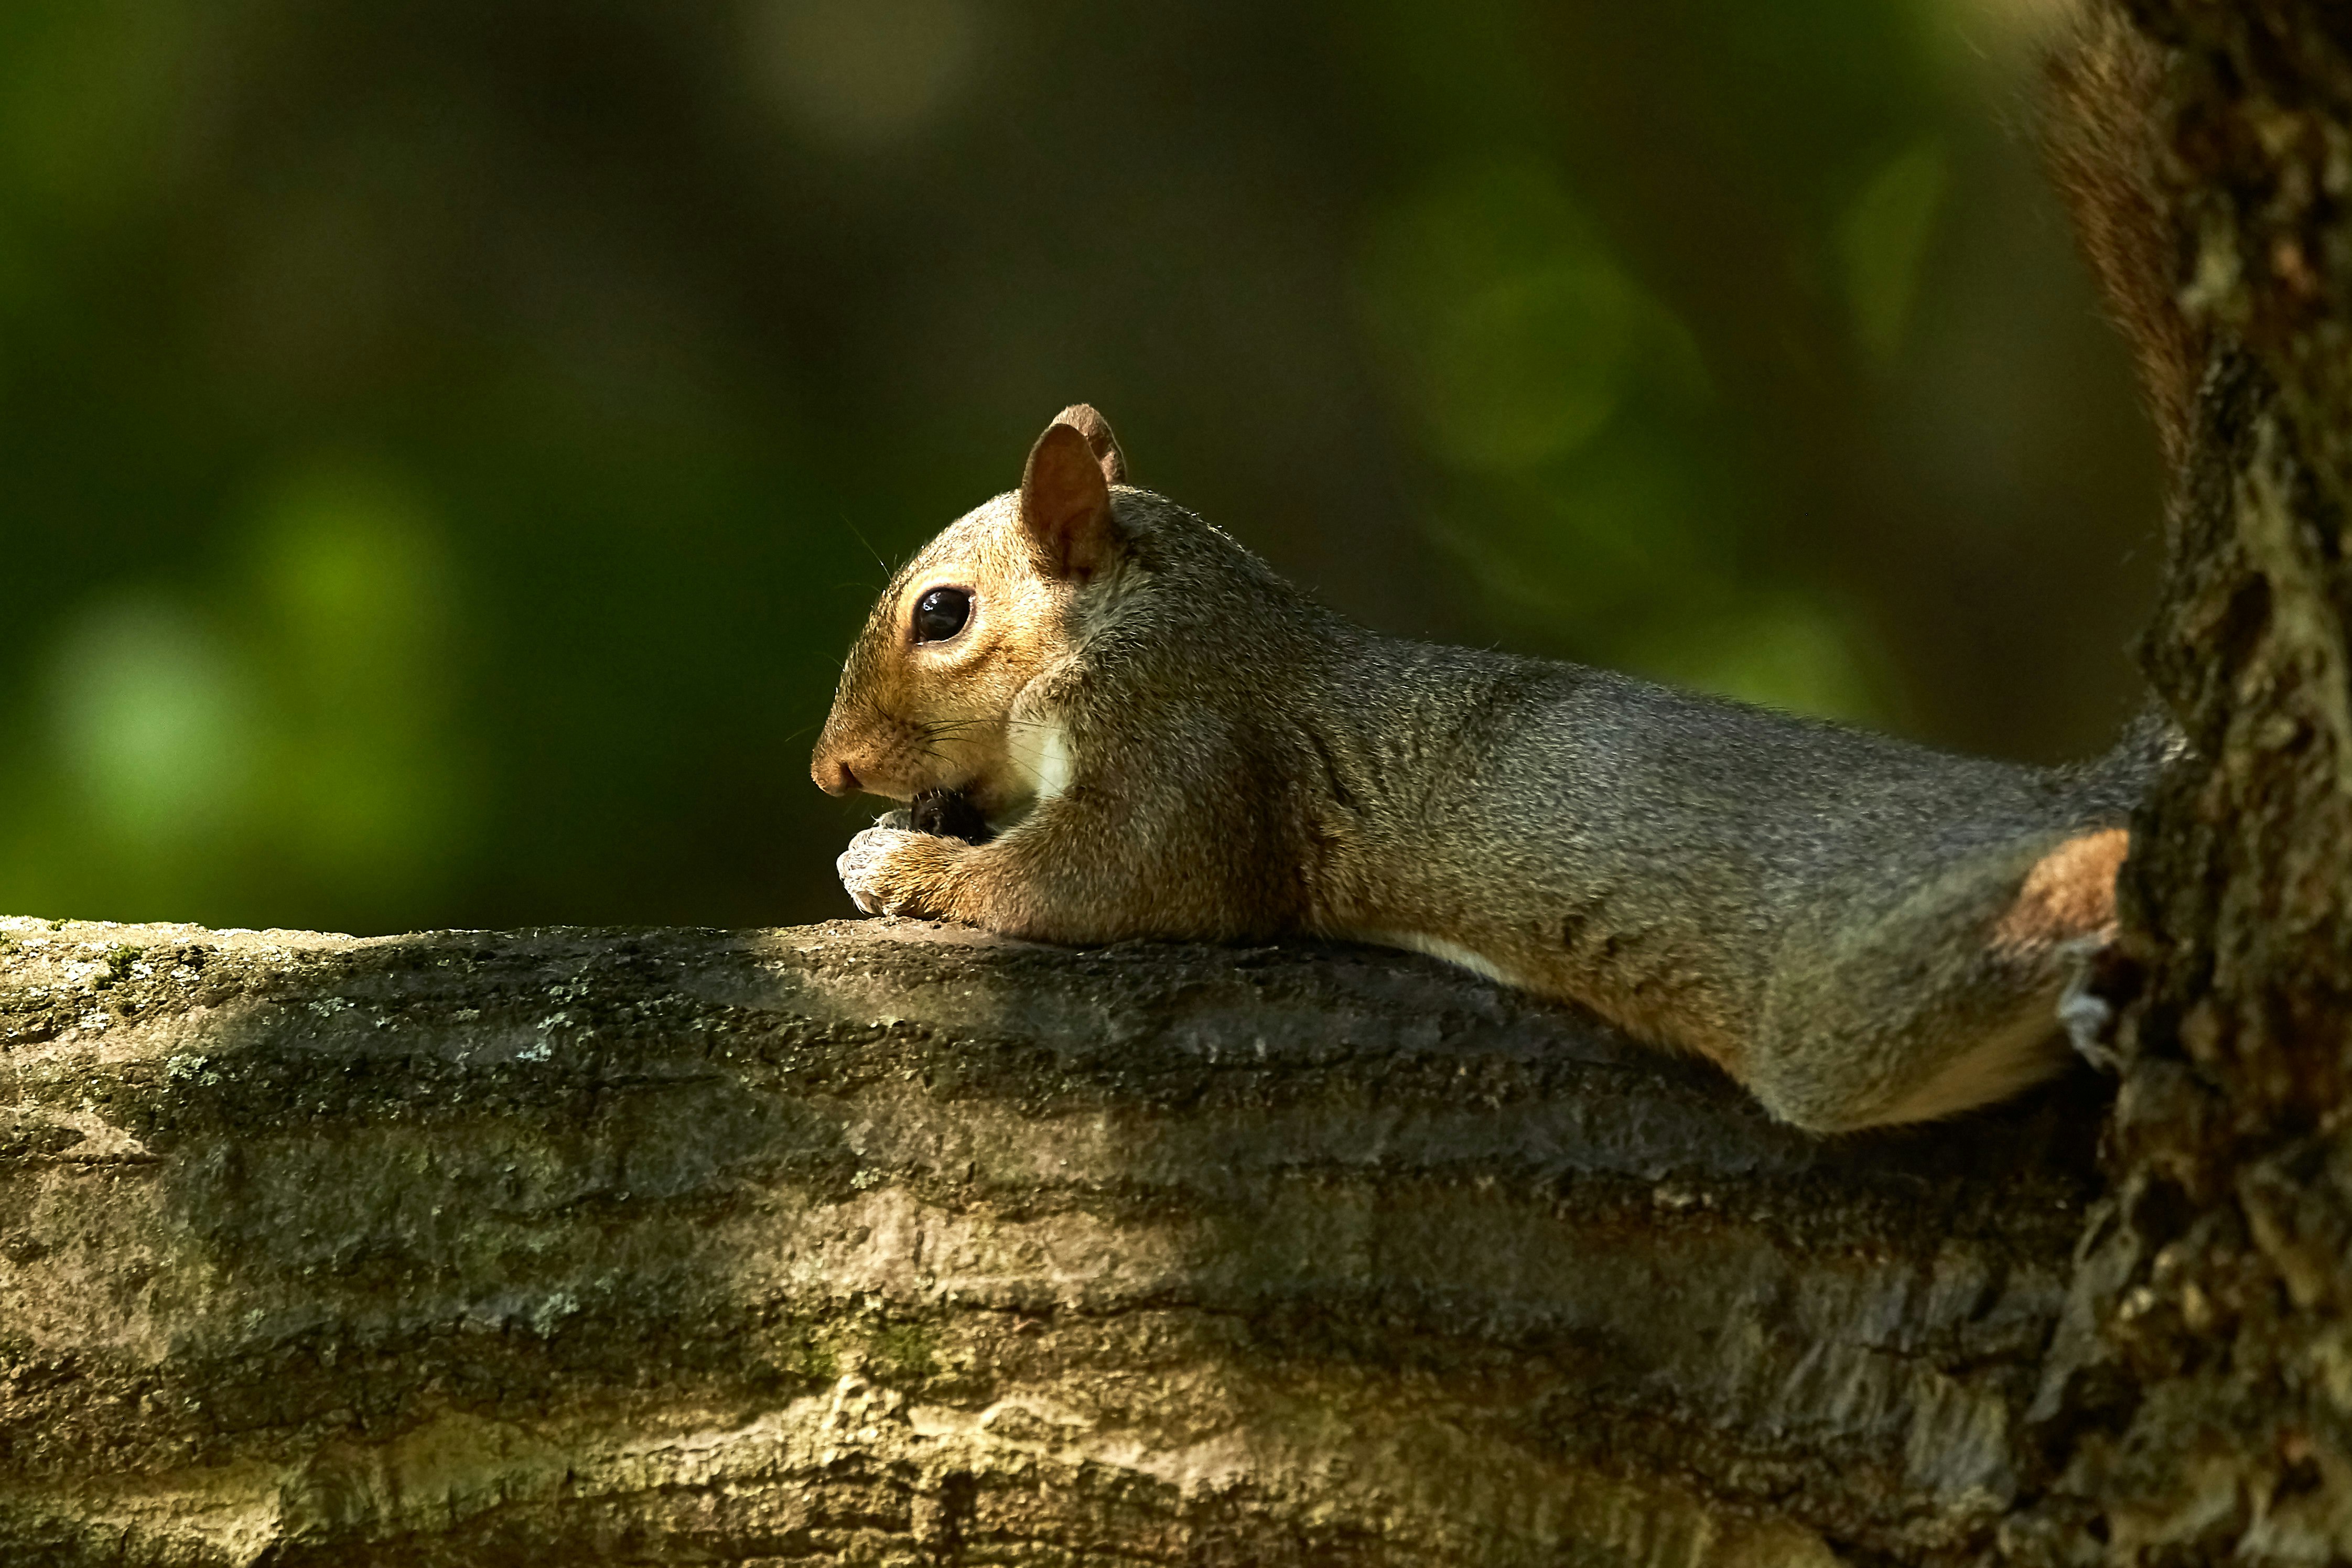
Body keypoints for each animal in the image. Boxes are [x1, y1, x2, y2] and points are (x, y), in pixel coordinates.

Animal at [814, 0, 2201, 1128]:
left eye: (940, 614)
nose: (830, 769)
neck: (1150, 607)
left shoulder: (1189, 736)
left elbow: (1096, 876)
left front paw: (903, 864)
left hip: (1846, 983)